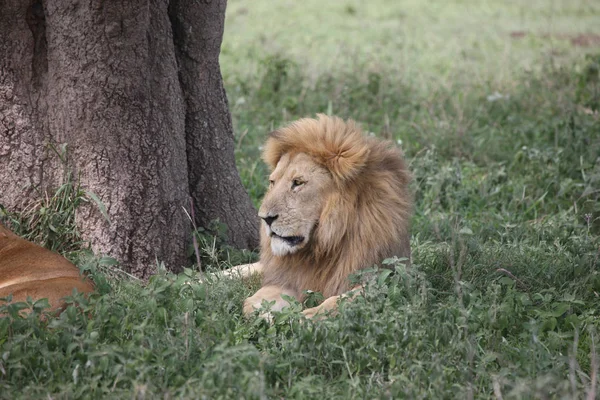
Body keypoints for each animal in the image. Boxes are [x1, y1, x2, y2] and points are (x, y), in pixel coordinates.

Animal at [230, 115, 412, 318]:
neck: (322, 246)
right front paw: (266, 315)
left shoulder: (383, 278)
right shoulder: (288, 279)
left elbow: (338, 302)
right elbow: (253, 302)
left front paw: (305, 317)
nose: (265, 218)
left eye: (298, 183)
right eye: (272, 182)